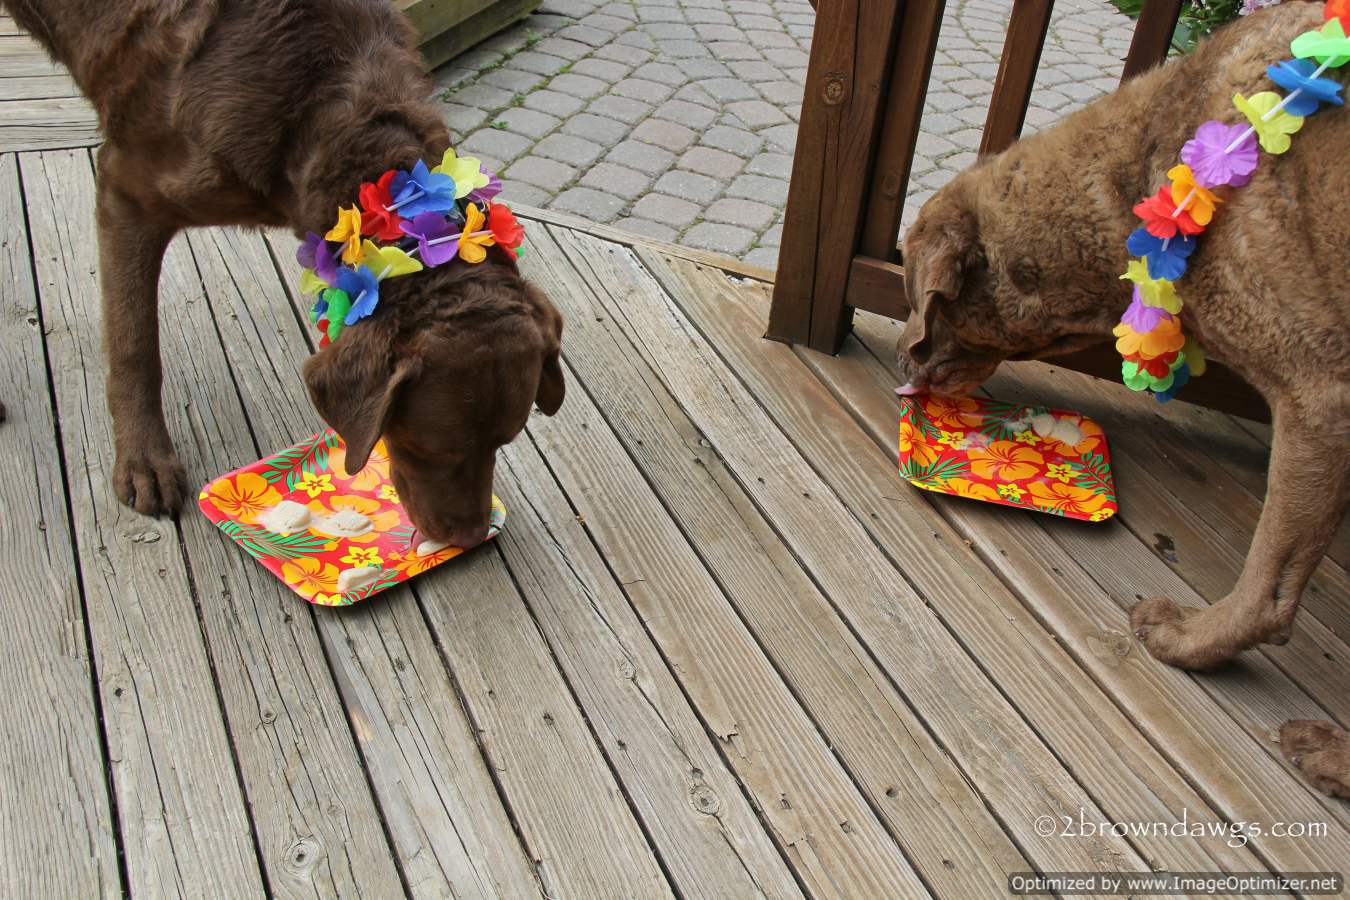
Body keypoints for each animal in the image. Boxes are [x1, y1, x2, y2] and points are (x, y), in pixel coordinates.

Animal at [2, 0, 564, 548]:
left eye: (504, 441)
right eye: (434, 449)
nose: (471, 537)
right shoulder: (127, 191)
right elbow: (134, 343)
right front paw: (144, 461)